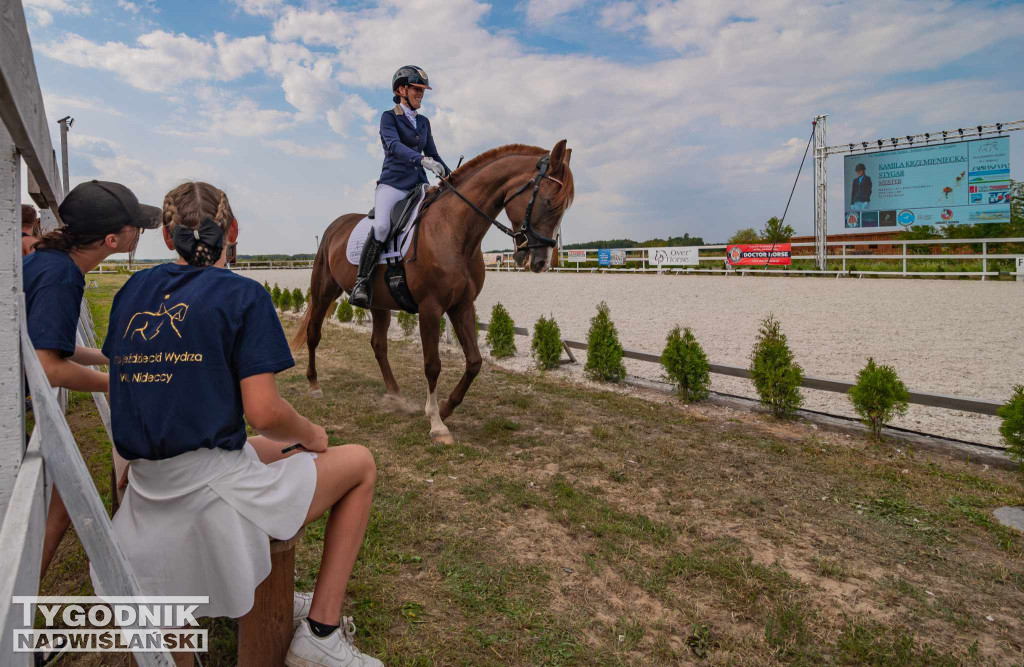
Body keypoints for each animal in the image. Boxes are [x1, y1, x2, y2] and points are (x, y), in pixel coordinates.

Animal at [292, 141, 573, 442]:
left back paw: (396, 396)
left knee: (379, 346)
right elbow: (432, 364)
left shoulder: (462, 306)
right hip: (324, 292)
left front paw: (448, 408)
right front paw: (436, 423)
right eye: (549, 202)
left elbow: (474, 361)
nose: (542, 262)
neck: (454, 229)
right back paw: (314, 385)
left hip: (379, 305)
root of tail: (335, 225)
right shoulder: (430, 308)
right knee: (314, 334)